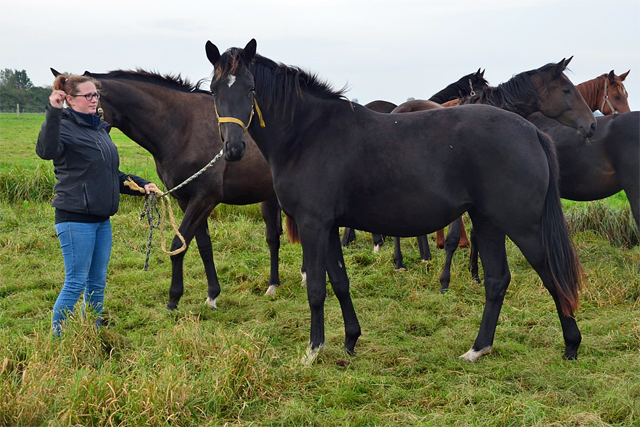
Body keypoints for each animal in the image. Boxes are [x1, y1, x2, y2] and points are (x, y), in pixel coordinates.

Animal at [63, 69, 284, 310]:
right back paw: (273, 285)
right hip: (270, 198)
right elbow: (203, 246)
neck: (183, 127)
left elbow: (178, 245)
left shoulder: (204, 199)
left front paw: (173, 298)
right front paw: (212, 295)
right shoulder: (186, 200)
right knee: (274, 237)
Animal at [205, 39, 596, 364]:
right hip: (488, 221)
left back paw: (571, 344)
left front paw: (313, 350)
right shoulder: (328, 227)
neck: (308, 133)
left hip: (521, 224)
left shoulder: (313, 224)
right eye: (213, 90)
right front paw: (350, 340)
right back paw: (478, 348)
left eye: (251, 88)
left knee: (551, 274)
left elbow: (316, 288)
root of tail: (531, 131)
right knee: (497, 280)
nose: (233, 148)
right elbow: (340, 282)